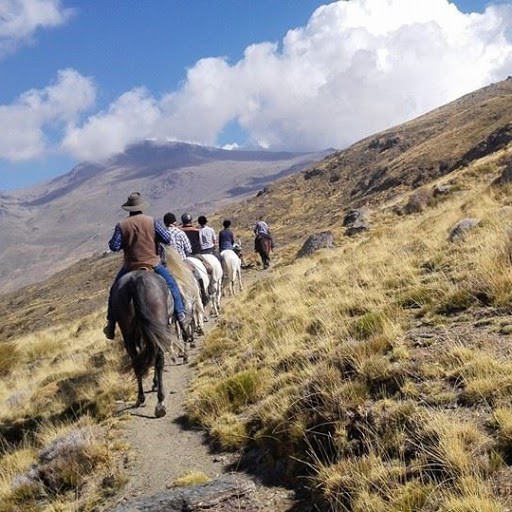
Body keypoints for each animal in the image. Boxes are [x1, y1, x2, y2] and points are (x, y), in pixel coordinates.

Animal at [111, 270, 177, 418]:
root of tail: (136, 281)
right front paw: (155, 383)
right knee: (158, 359)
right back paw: (159, 403)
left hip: (128, 332)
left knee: (136, 362)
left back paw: (141, 398)